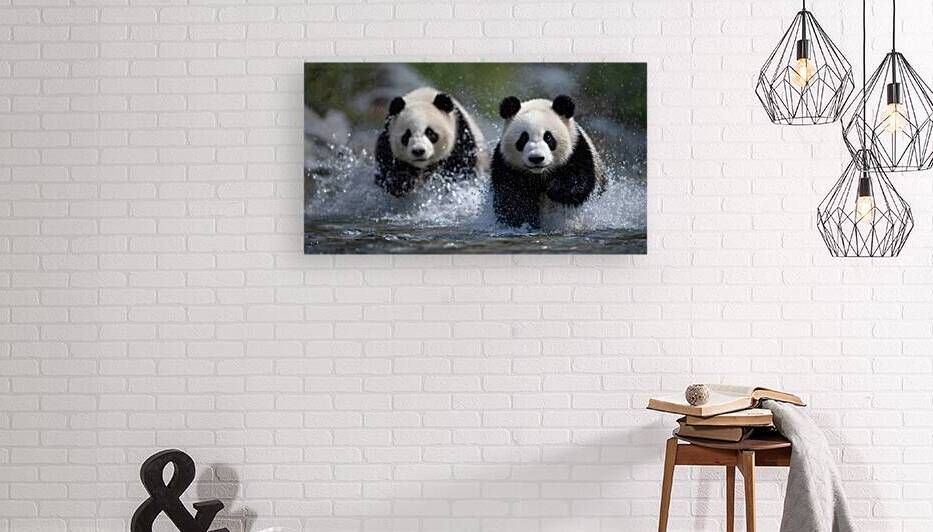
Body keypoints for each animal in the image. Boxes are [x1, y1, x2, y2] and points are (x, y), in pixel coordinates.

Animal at [491, 95, 607, 229]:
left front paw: (553, 188)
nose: (536, 158)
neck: (540, 174)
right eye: (523, 138)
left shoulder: (576, 150)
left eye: (548, 137)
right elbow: (511, 199)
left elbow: (577, 182)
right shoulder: (507, 165)